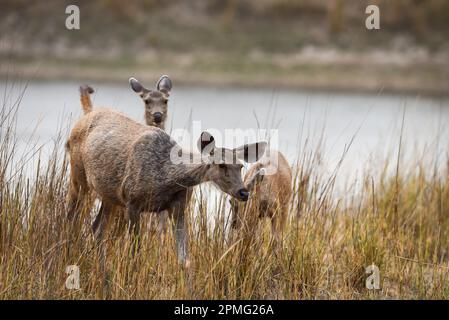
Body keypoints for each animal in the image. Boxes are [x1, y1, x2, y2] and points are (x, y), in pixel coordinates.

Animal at [66, 85, 266, 262]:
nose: (243, 192)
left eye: (241, 166)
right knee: (72, 217)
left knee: (97, 228)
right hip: (78, 176)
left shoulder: (178, 207)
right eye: (221, 165)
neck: (165, 177)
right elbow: (135, 253)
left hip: (109, 195)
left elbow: (184, 259)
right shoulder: (132, 201)